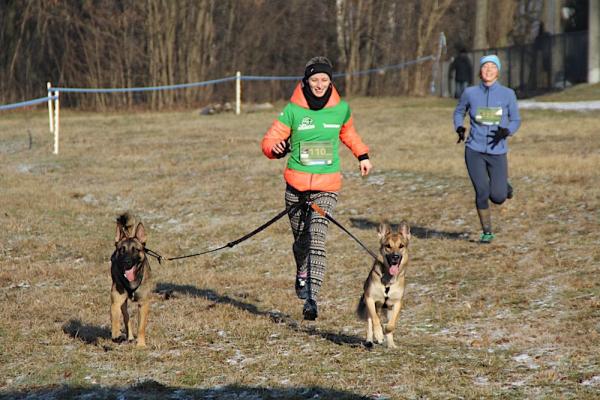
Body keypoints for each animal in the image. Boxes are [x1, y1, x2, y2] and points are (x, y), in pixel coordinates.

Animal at [110, 212, 154, 346]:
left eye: (136, 250)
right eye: (121, 250)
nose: (127, 262)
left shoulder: (143, 303)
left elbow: (141, 327)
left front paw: (141, 345)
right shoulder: (116, 301)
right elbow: (115, 318)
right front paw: (116, 334)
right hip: (123, 303)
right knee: (126, 317)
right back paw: (128, 337)